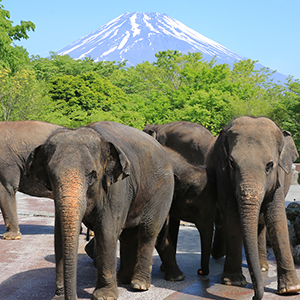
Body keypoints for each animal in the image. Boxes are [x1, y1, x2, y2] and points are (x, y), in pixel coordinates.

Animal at [27, 121, 176, 300]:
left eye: (92, 175)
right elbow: (59, 235)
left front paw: (105, 296)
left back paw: (138, 285)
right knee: (128, 235)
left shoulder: (118, 187)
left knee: (148, 231)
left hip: (162, 190)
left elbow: (106, 231)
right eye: (51, 175)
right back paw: (122, 279)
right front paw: (58, 297)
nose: (73, 297)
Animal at [206, 116, 300, 300]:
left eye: (269, 165)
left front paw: (291, 289)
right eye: (232, 163)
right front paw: (234, 282)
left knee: (262, 223)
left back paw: (263, 267)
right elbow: (233, 216)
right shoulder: (224, 176)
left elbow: (276, 218)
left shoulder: (278, 179)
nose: (254, 296)